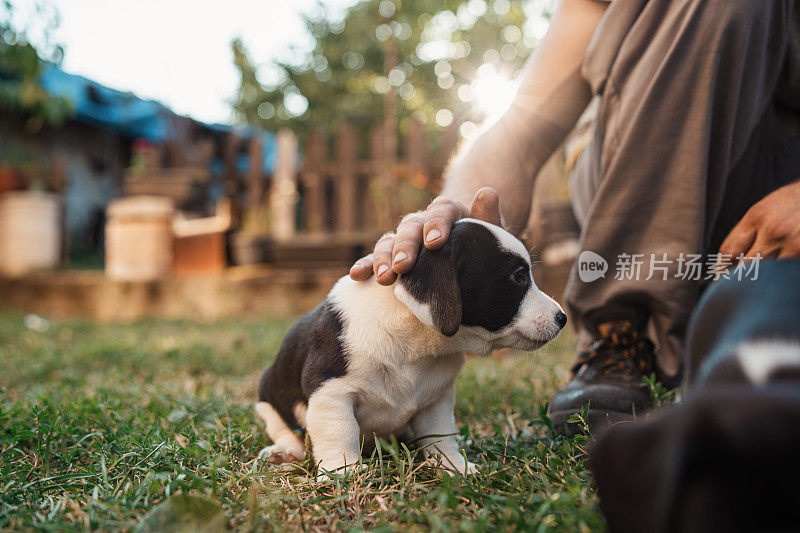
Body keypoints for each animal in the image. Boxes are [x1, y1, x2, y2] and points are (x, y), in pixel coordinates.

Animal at [255, 217, 564, 474]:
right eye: (518, 276)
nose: (562, 318)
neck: (417, 340)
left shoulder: (436, 400)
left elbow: (442, 435)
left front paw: (455, 466)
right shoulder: (331, 391)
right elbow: (339, 432)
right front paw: (342, 473)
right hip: (268, 394)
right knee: (285, 427)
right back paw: (284, 452)